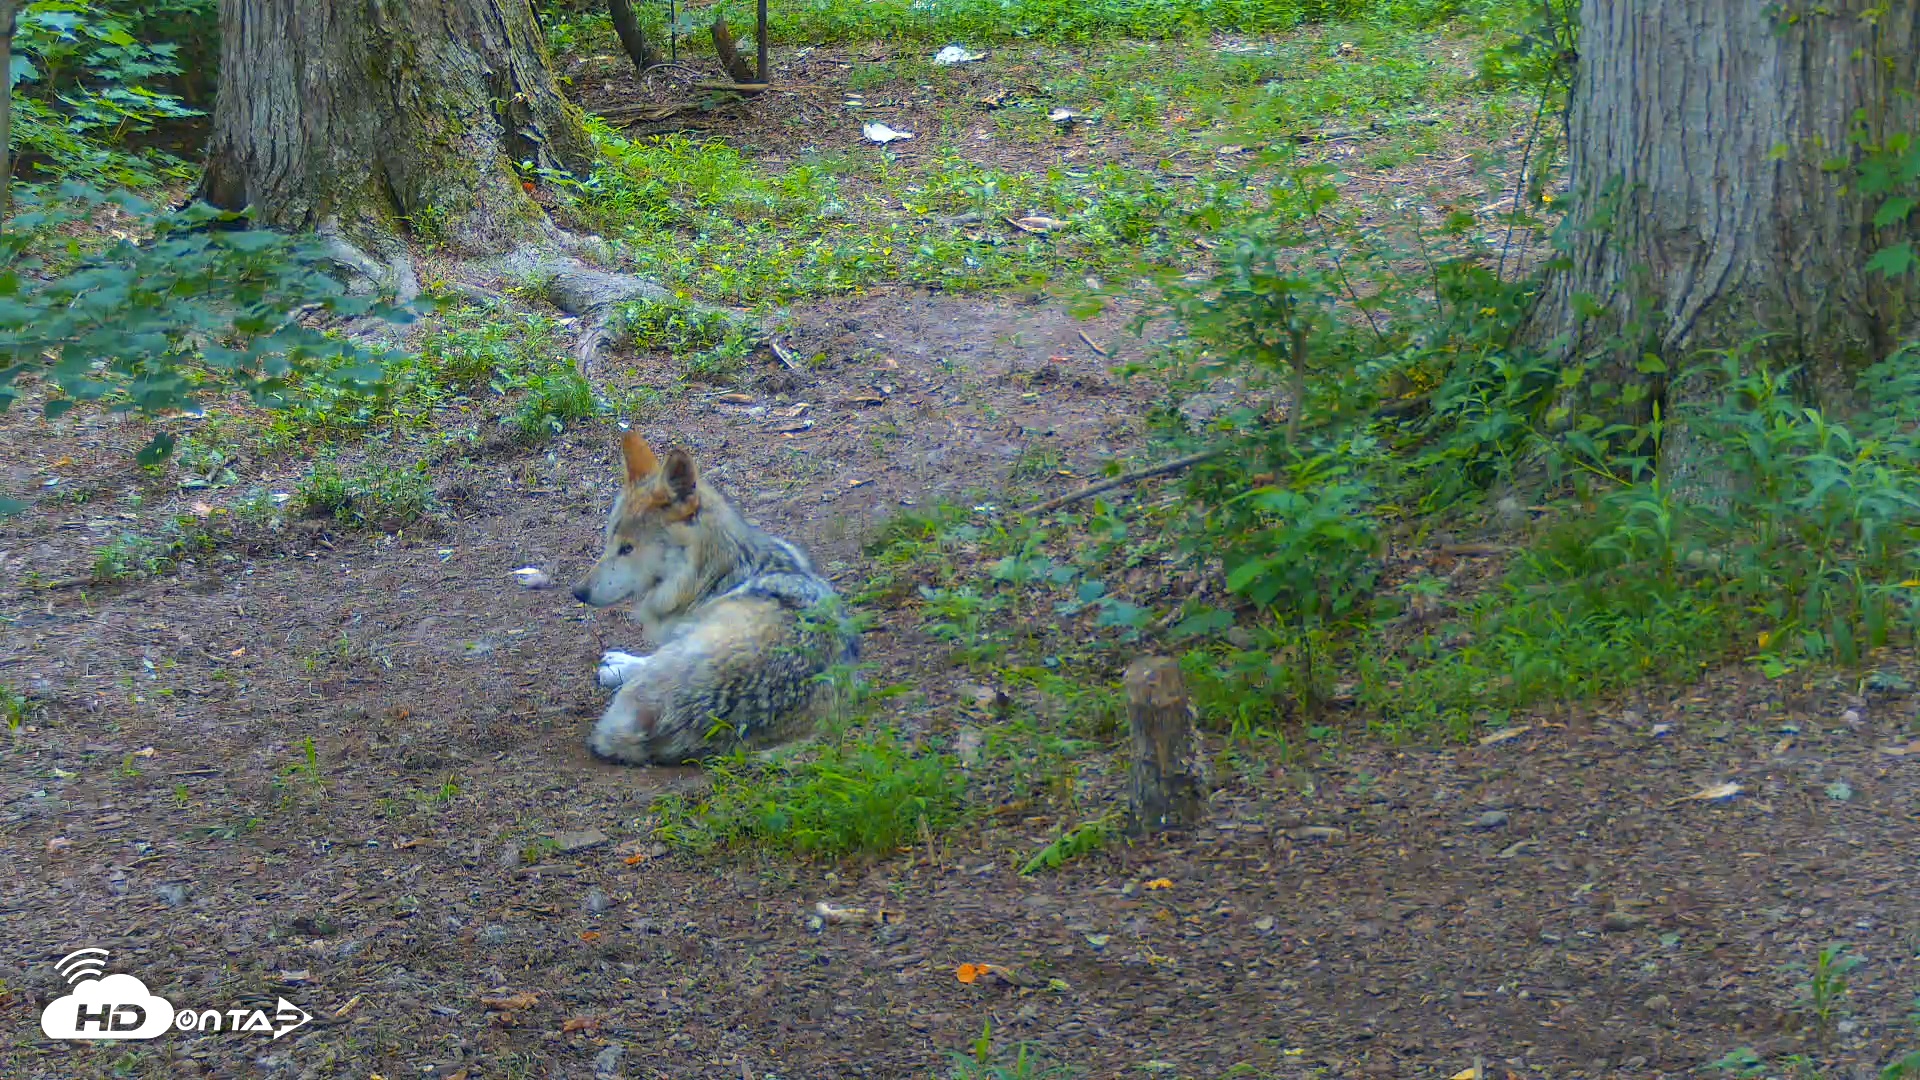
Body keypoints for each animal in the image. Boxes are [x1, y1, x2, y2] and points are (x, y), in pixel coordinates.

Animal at [571, 431, 858, 765]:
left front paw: (618, 665)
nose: (578, 592)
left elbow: (644, 660)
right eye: (609, 542)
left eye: (628, 548)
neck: (718, 573)